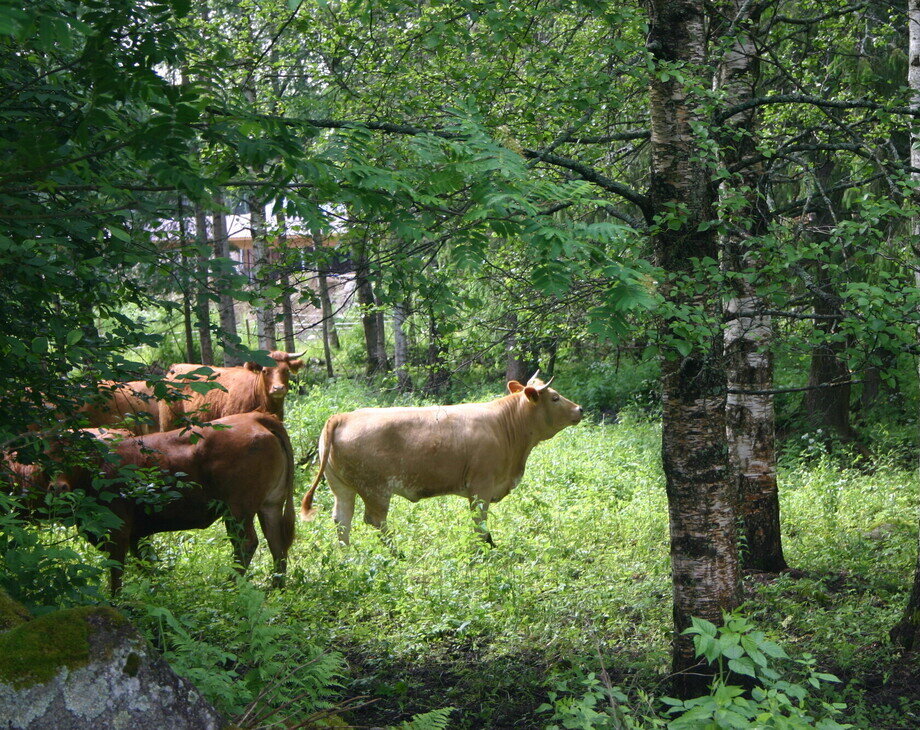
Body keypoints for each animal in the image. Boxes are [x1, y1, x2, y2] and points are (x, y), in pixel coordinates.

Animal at [54, 412, 296, 593]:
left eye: (70, 453)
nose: (58, 487)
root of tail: (255, 418)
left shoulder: (118, 530)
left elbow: (117, 569)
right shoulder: (136, 534)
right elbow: (145, 561)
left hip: (238, 509)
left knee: (247, 543)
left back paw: (230, 586)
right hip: (270, 505)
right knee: (276, 542)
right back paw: (276, 587)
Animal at [300, 373, 583, 546]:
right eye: (555, 397)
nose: (579, 409)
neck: (502, 424)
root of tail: (342, 416)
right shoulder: (481, 486)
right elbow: (479, 522)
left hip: (341, 488)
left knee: (342, 520)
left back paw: (348, 556)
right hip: (375, 490)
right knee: (375, 520)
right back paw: (397, 554)